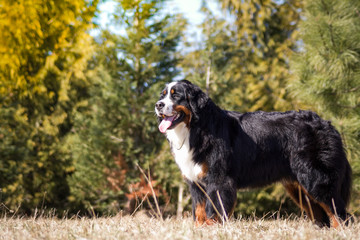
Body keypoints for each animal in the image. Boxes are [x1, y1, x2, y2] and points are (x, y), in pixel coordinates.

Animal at [154, 80, 352, 227]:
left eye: (176, 95)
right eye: (162, 95)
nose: (158, 105)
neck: (196, 128)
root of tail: (327, 124)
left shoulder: (218, 180)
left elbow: (213, 211)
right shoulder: (196, 181)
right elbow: (199, 212)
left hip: (316, 179)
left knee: (339, 213)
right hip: (299, 188)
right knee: (322, 215)